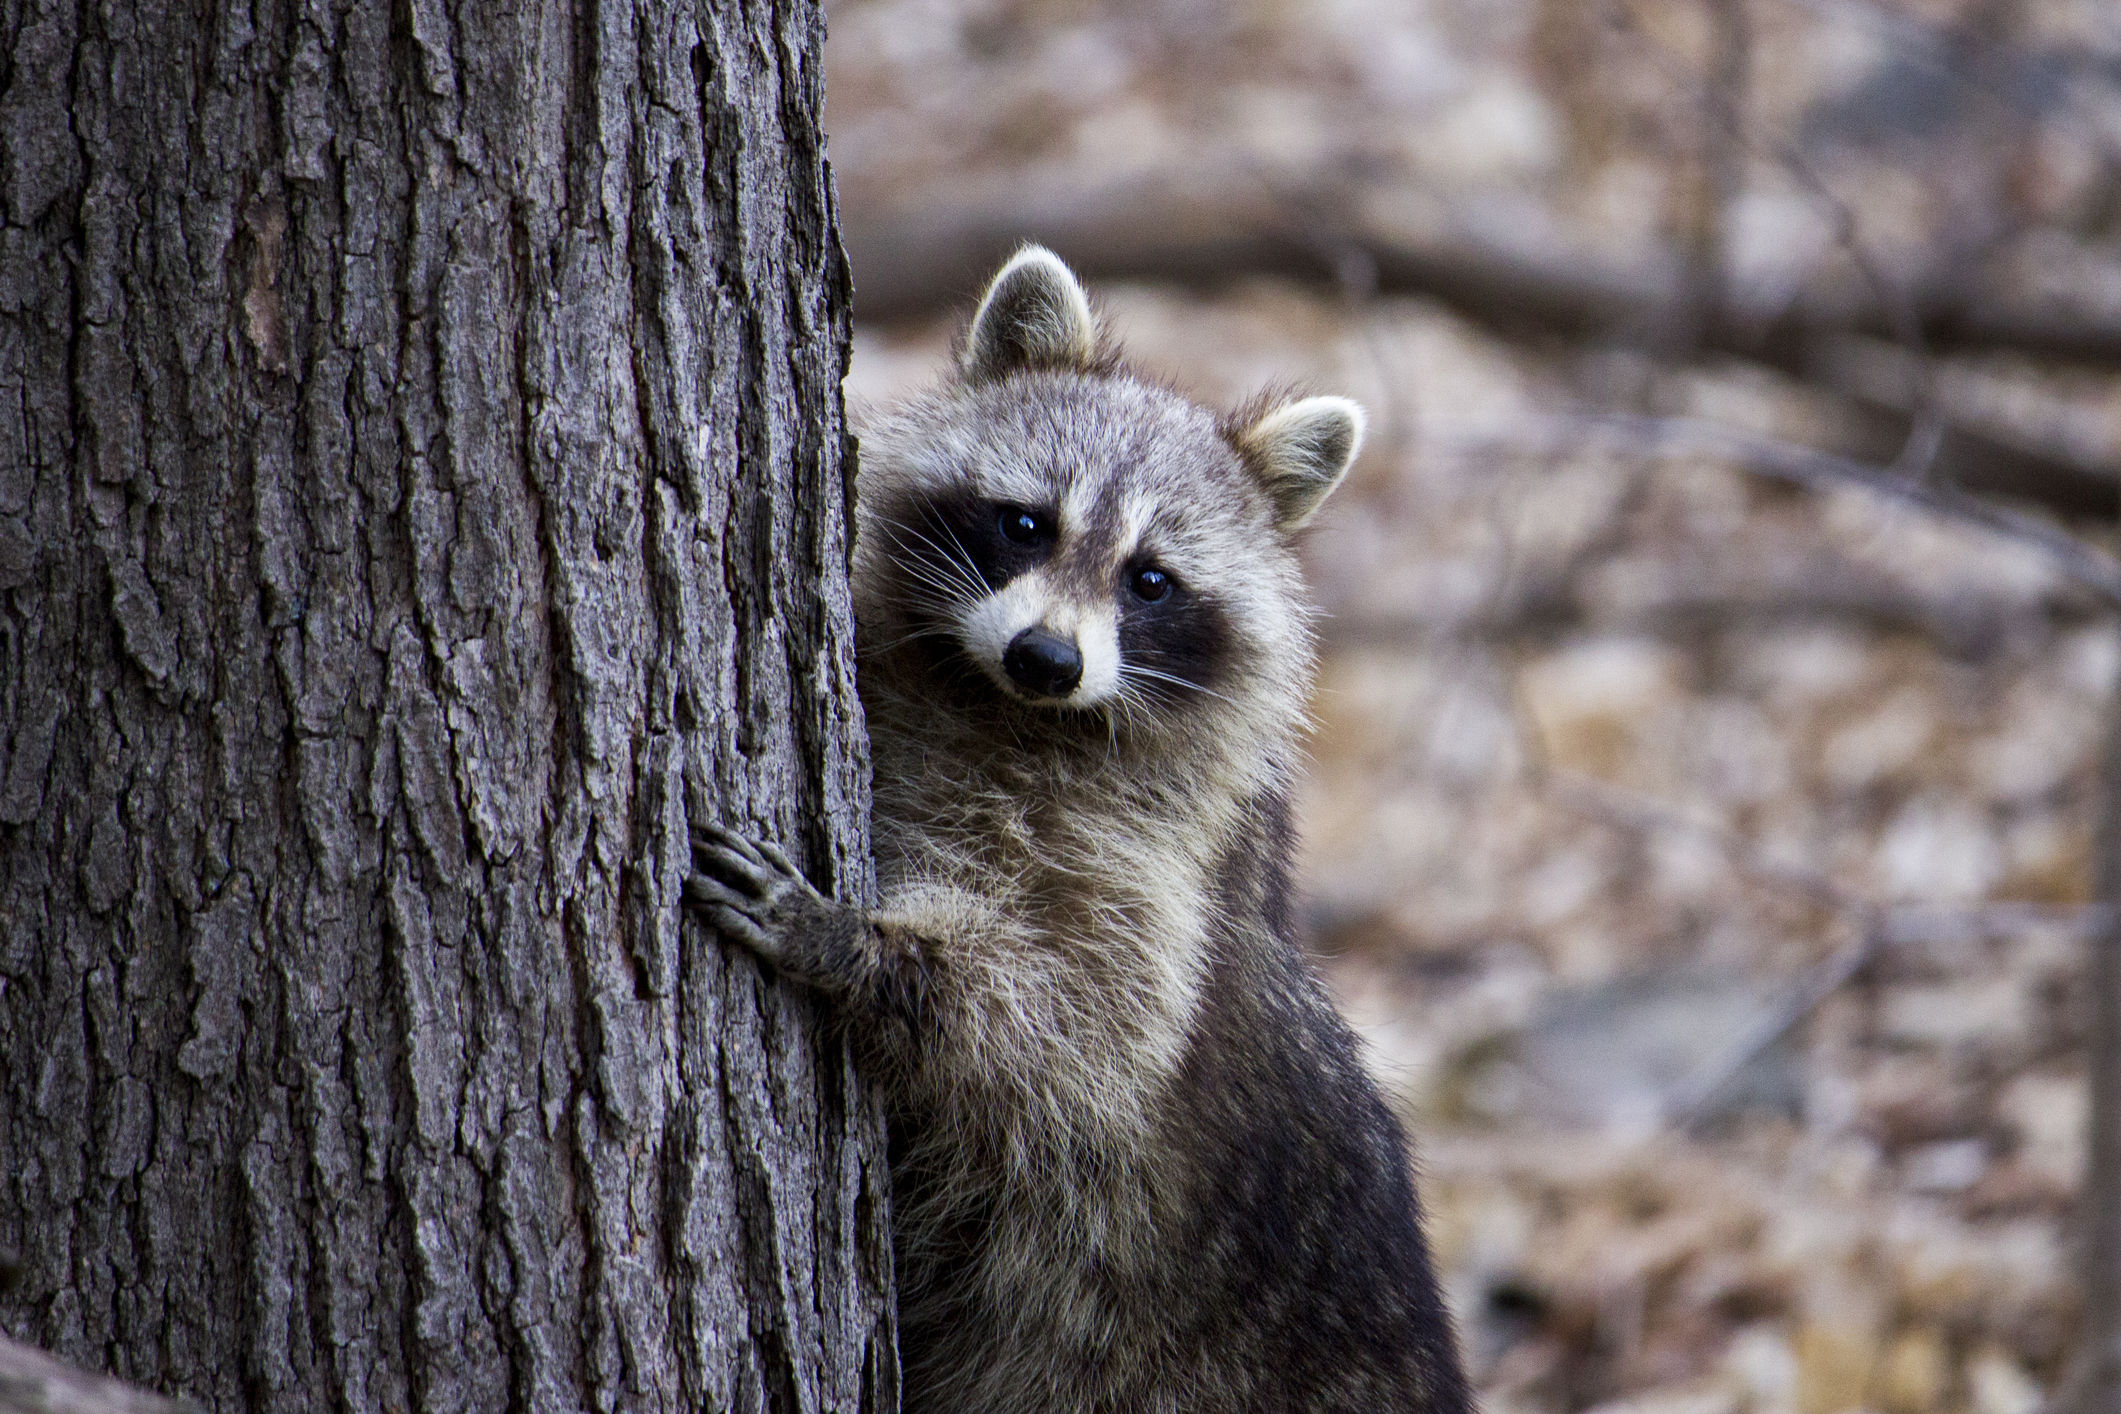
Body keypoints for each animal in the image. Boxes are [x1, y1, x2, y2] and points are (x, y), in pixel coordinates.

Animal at [687, 249, 1467, 1407]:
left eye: (1150, 579)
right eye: (1026, 524)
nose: (1047, 658)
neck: (1002, 710)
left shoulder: (1158, 877)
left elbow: (1072, 1027)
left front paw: (863, 949)